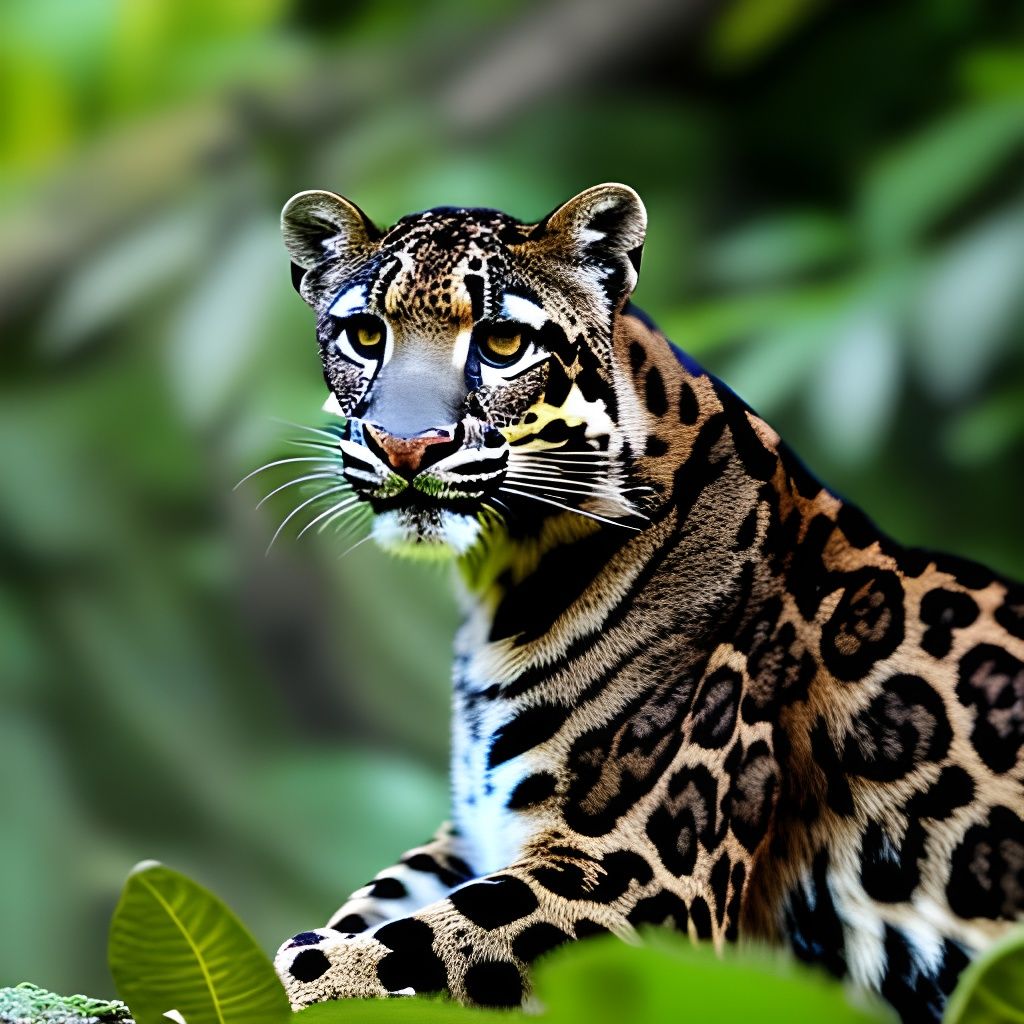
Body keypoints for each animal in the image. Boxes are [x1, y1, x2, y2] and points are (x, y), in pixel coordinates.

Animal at [270, 183, 1024, 1022]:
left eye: (502, 344)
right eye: (366, 334)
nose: (406, 447)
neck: (503, 580)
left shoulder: (631, 878)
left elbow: (359, 957)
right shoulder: (472, 838)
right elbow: (358, 918)